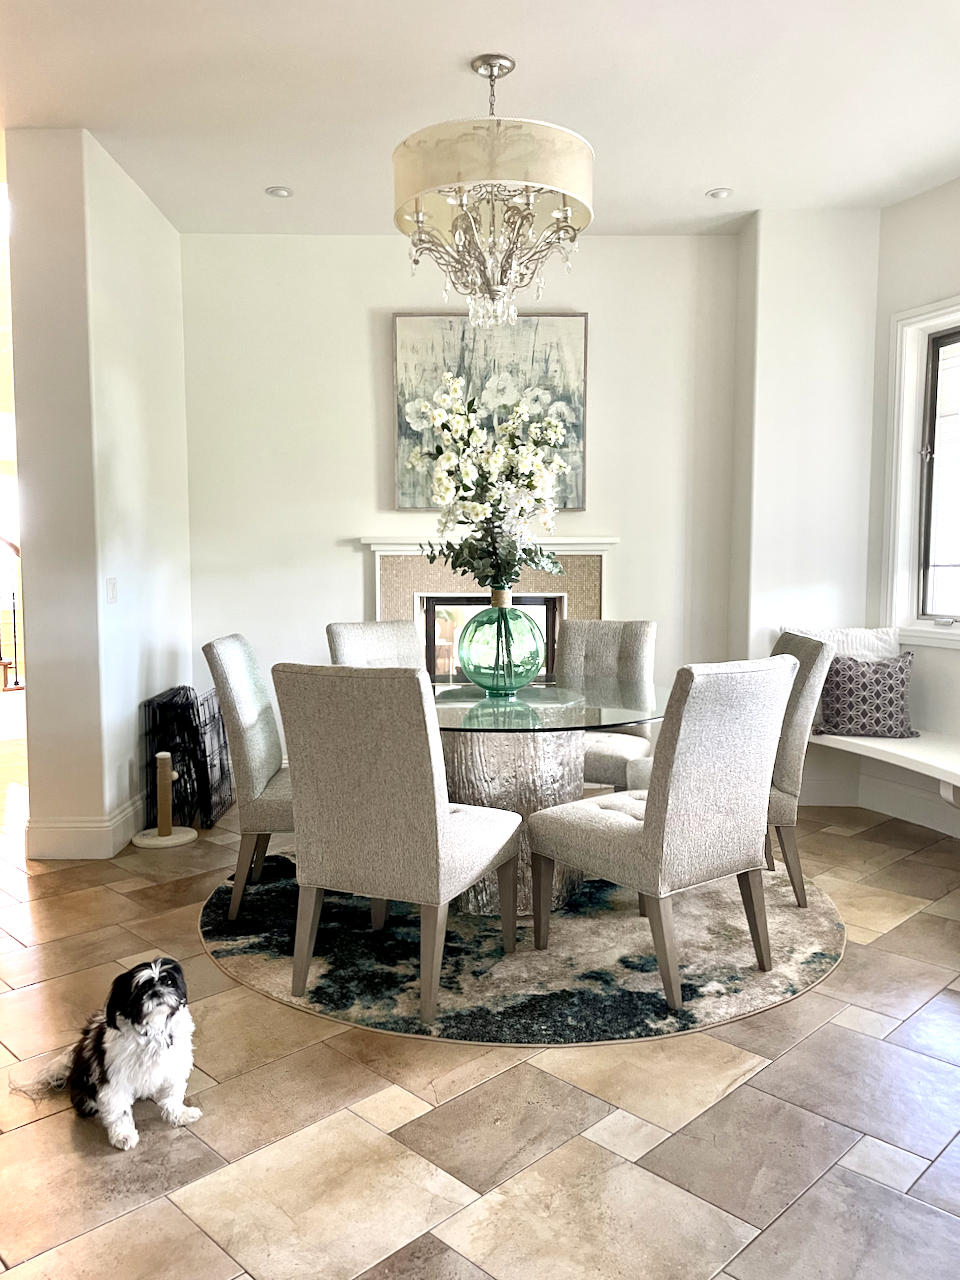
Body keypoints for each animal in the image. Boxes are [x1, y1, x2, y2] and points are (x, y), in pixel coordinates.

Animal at [13, 952, 200, 1152]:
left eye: (169, 982)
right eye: (141, 991)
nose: (157, 992)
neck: (154, 1030)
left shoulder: (175, 1066)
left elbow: (173, 1095)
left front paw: (180, 1115)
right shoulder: (114, 1078)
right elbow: (119, 1109)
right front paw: (124, 1135)